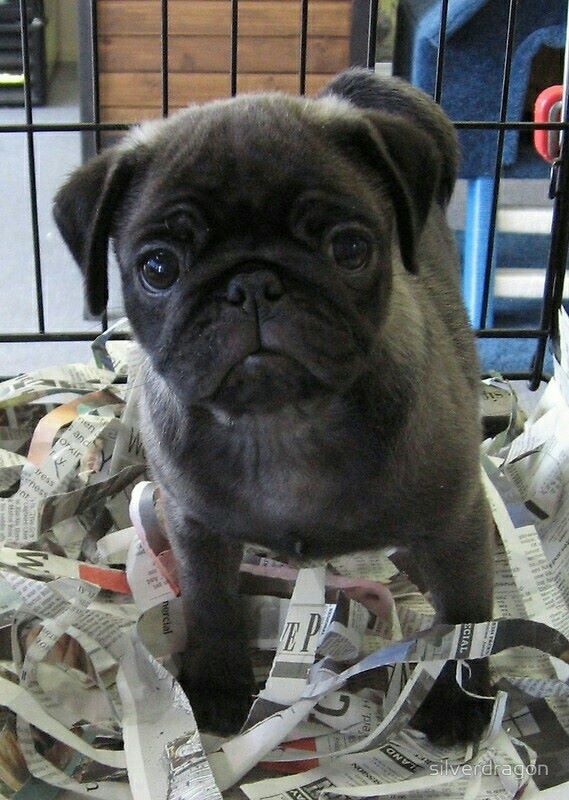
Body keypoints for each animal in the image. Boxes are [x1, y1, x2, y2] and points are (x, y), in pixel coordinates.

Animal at [55, 67, 494, 744]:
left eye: (349, 249)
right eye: (158, 267)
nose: (253, 283)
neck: (281, 426)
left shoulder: (456, 523)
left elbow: (466, 618)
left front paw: (456, 695)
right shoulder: (195, 528)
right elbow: (210, 603)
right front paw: (215, 682)